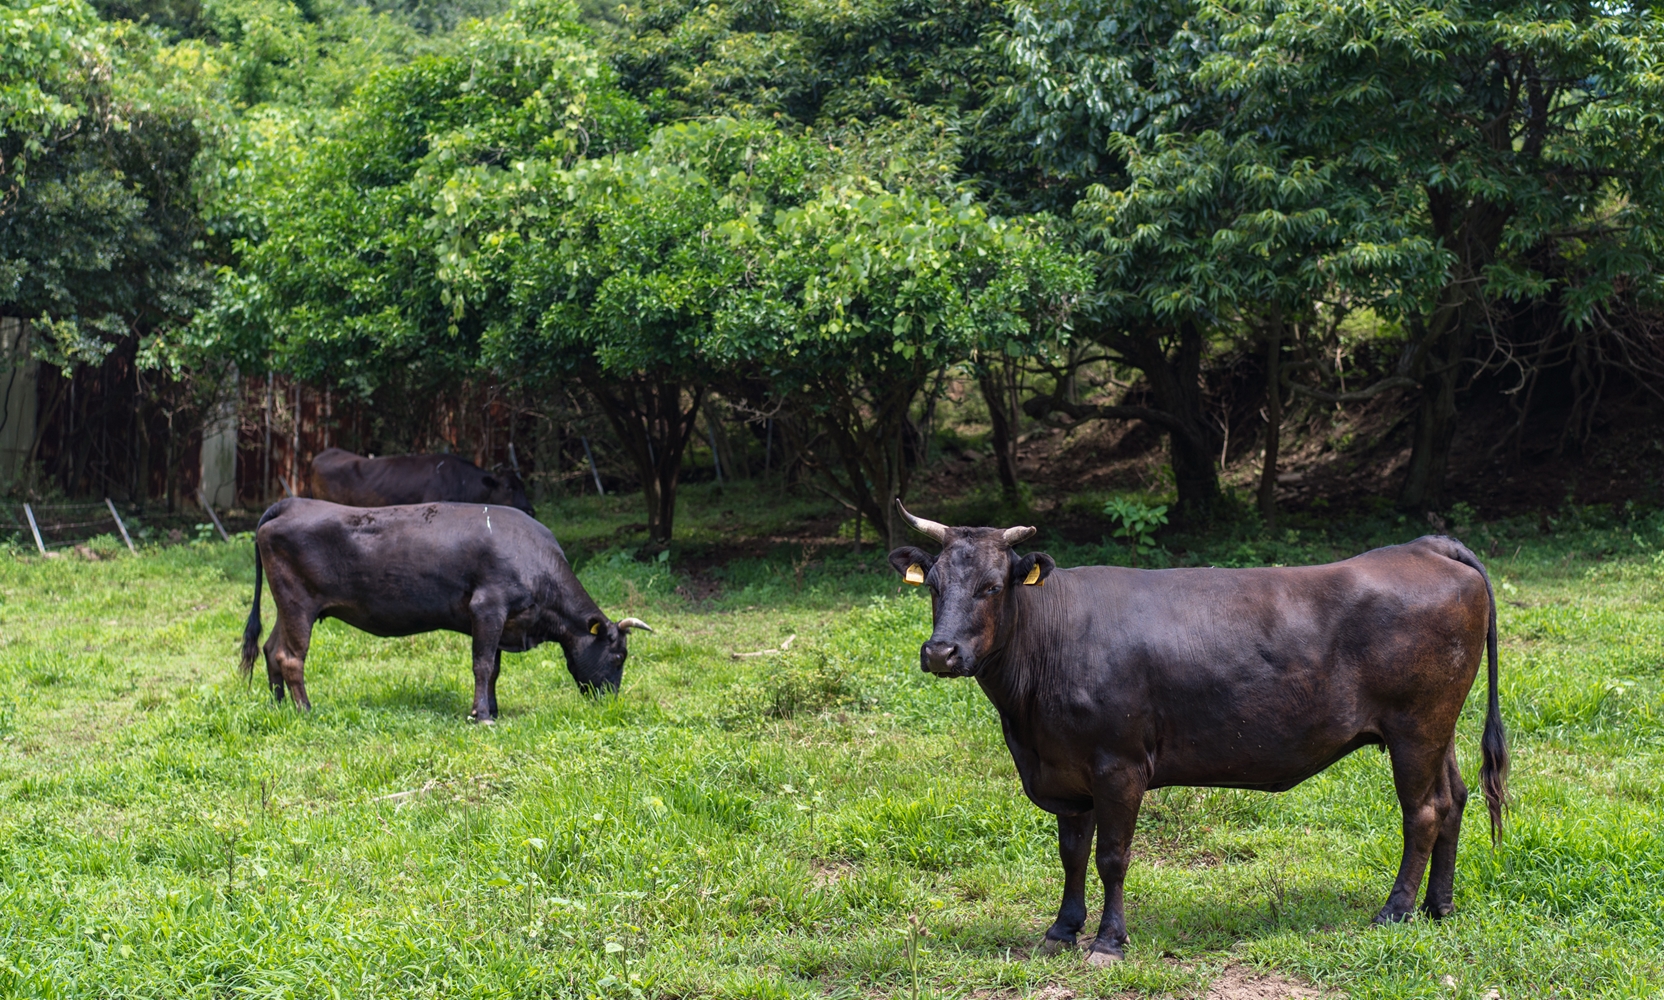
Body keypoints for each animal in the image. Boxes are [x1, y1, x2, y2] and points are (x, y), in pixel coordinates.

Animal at [241, 495, 648, 718]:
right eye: (619, 656)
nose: (610, 701)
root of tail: (291, 503)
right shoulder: (488, 606)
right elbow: (482, 665)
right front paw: (482, 715)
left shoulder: (502, 621)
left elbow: (494, 669)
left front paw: (492, 709)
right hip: (298, 603)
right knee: (291, 657)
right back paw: (305, 710)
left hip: (287, 606)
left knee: (271, 648)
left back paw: (278, 705)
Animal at [885, 502, 1510, 965]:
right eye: (933, 585)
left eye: (993, 586)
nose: (940, 652)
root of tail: (1423, 546)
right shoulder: (1065, 769)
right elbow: (1071, 853)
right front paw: (1061, 930)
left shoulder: (1119, 764)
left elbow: (1112, 856)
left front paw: (1108, 942)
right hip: (1438, 728)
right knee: (1453, 800)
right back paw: (1439, 907)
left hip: (1415, 727)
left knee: (1422, 812)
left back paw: (1395, 911)